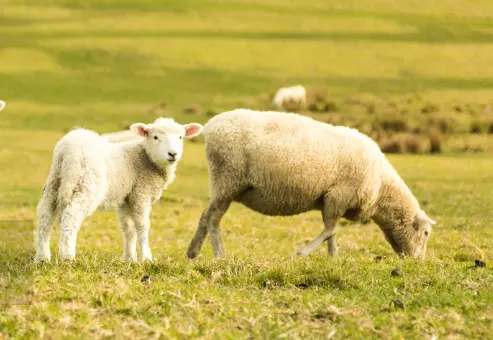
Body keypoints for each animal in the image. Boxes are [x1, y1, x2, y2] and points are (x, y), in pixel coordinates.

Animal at [35, 117, 203, 262]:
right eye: (155, 137)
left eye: (180, 137)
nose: (173, 154)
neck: (145, 158)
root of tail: (68, 150)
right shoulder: (141, 193)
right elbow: (142, 225)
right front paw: (146, 257)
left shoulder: (126, 198)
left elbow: (128, 228)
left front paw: (129, 258)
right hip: (86, 184)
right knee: (70, 217)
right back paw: (68, 257)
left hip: (54, 181)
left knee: (45, 216)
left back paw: (42, 258)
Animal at [186, 109, 436, 260]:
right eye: (425, 233)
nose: (418, 261)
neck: (382, 189)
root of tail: (211, 126)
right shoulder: (338, 195)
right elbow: (330, 230)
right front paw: (302, 253)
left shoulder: (333, 199)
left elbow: (331, 232)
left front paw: (333, 258)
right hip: (228, 178)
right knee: (214, 219)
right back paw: (219, 254)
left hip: (223, 183)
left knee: (205, 215)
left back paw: (192, 252)